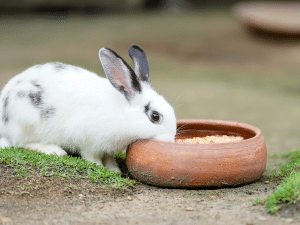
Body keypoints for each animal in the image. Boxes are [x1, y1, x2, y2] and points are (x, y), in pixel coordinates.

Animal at [0, 44, 176, 174]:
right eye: (155, 116)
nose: (170, 140)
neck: (121, 112)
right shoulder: (88, 141)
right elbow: (92, 157)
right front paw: (100, 167)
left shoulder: (108, 148)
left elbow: (109, 157)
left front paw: (114, 170)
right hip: (26, 121)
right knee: (21, 143)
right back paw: (54, 150)